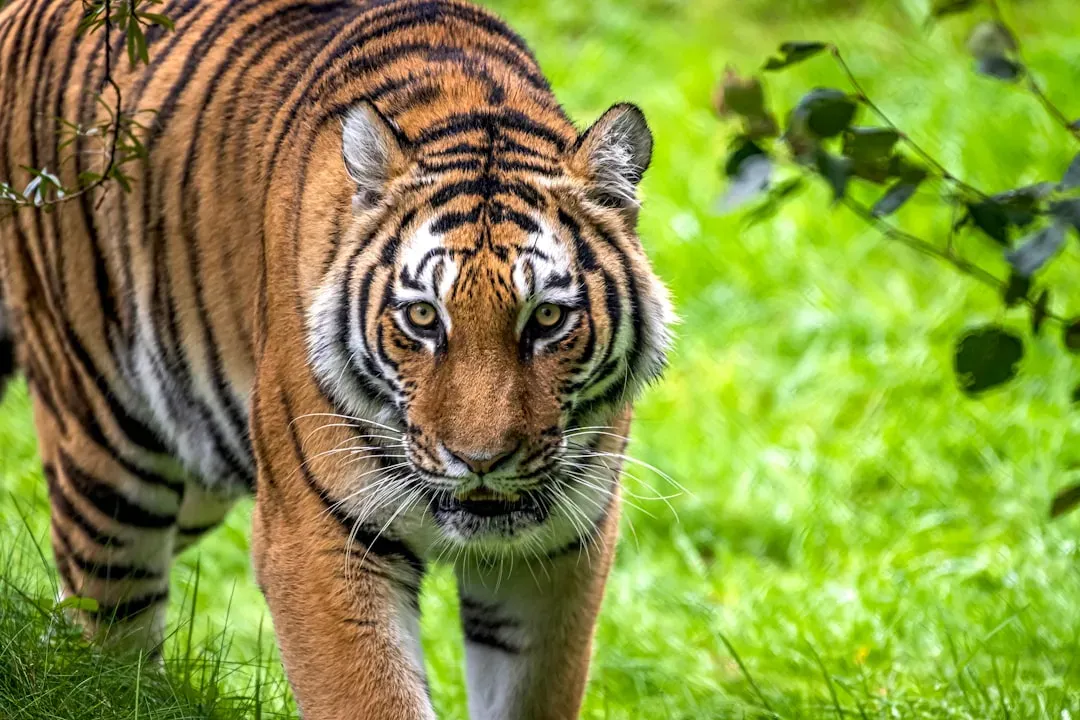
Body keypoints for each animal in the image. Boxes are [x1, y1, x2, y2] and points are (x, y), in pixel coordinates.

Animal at [0, 0, 674, 717]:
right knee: (106, 638)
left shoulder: (555, 555)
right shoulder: (316, 539)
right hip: (110, 451)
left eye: (547, 318)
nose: (481, 463)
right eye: (422, 317)